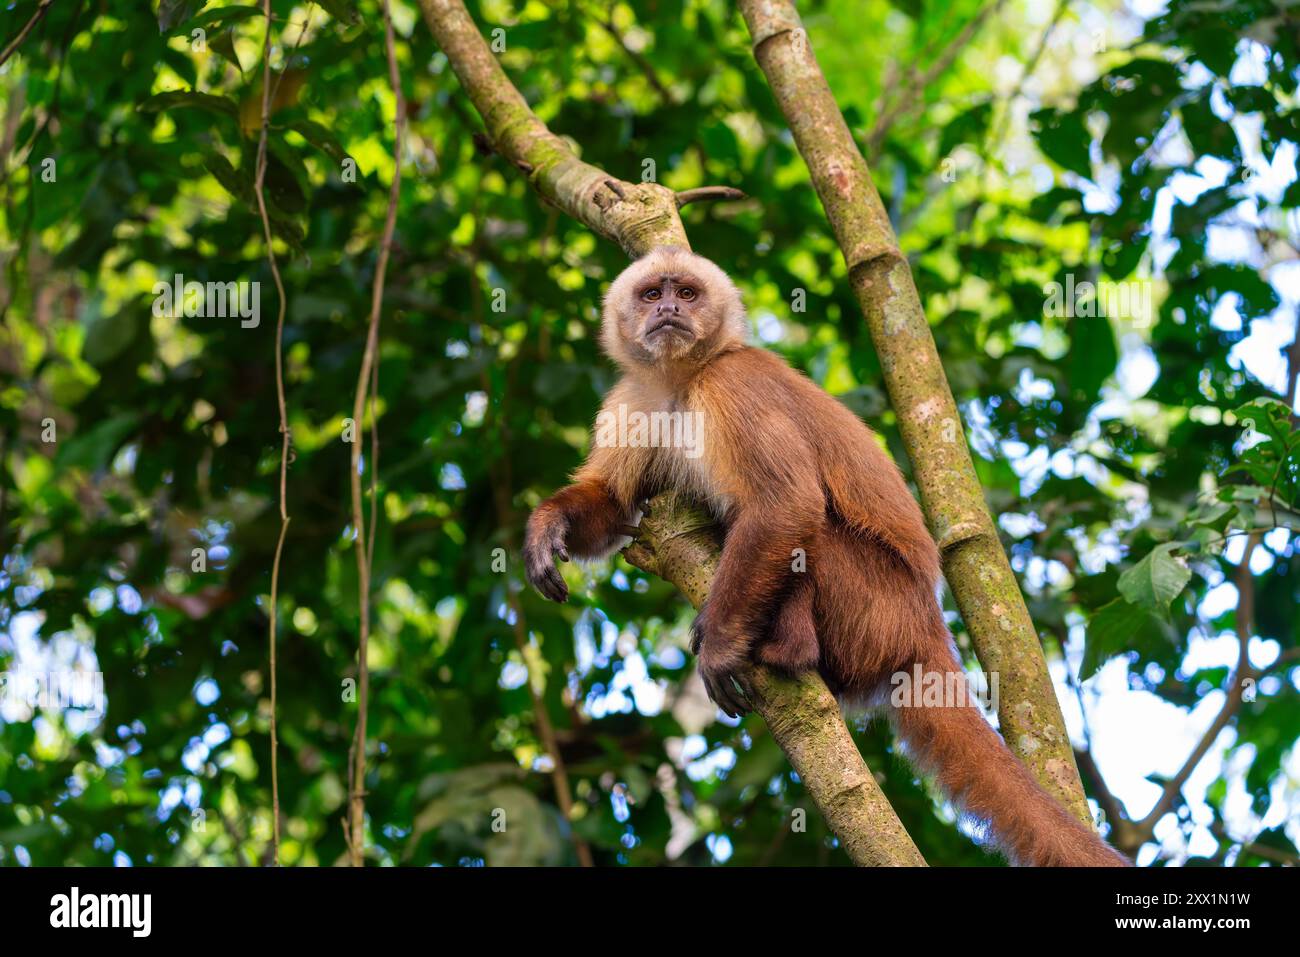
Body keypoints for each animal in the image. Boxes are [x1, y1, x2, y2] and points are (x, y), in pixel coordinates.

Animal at [525, 247, 1128, 868]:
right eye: (652, 295)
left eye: (686, 294)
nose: (669, 309)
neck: (682, 380)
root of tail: (929, 624)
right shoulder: (633, 400)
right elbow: (613, 504)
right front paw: (548, 527)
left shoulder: (731, 383)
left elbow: (786, 504)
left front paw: (718, 647)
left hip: (878, 603)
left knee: (801, 533)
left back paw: (790, 647)